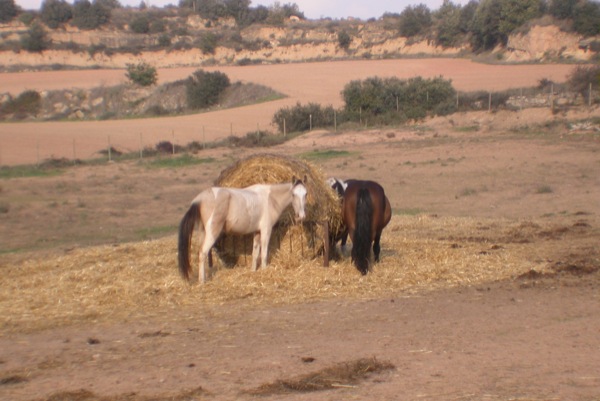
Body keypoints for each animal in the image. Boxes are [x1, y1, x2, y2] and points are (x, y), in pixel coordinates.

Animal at [177, 177, 310, 282]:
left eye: (305, 194)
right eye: (293, 194)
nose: (301, 216)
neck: (270, 199)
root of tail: (201, 198)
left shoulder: (257, 232)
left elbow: (255, 253)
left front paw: (253, 271)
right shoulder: (266, 230)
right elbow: (264, 253)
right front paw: (264, 271)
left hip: (202, 232)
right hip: (212, 233)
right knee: (203, 253)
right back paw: (202, 281)